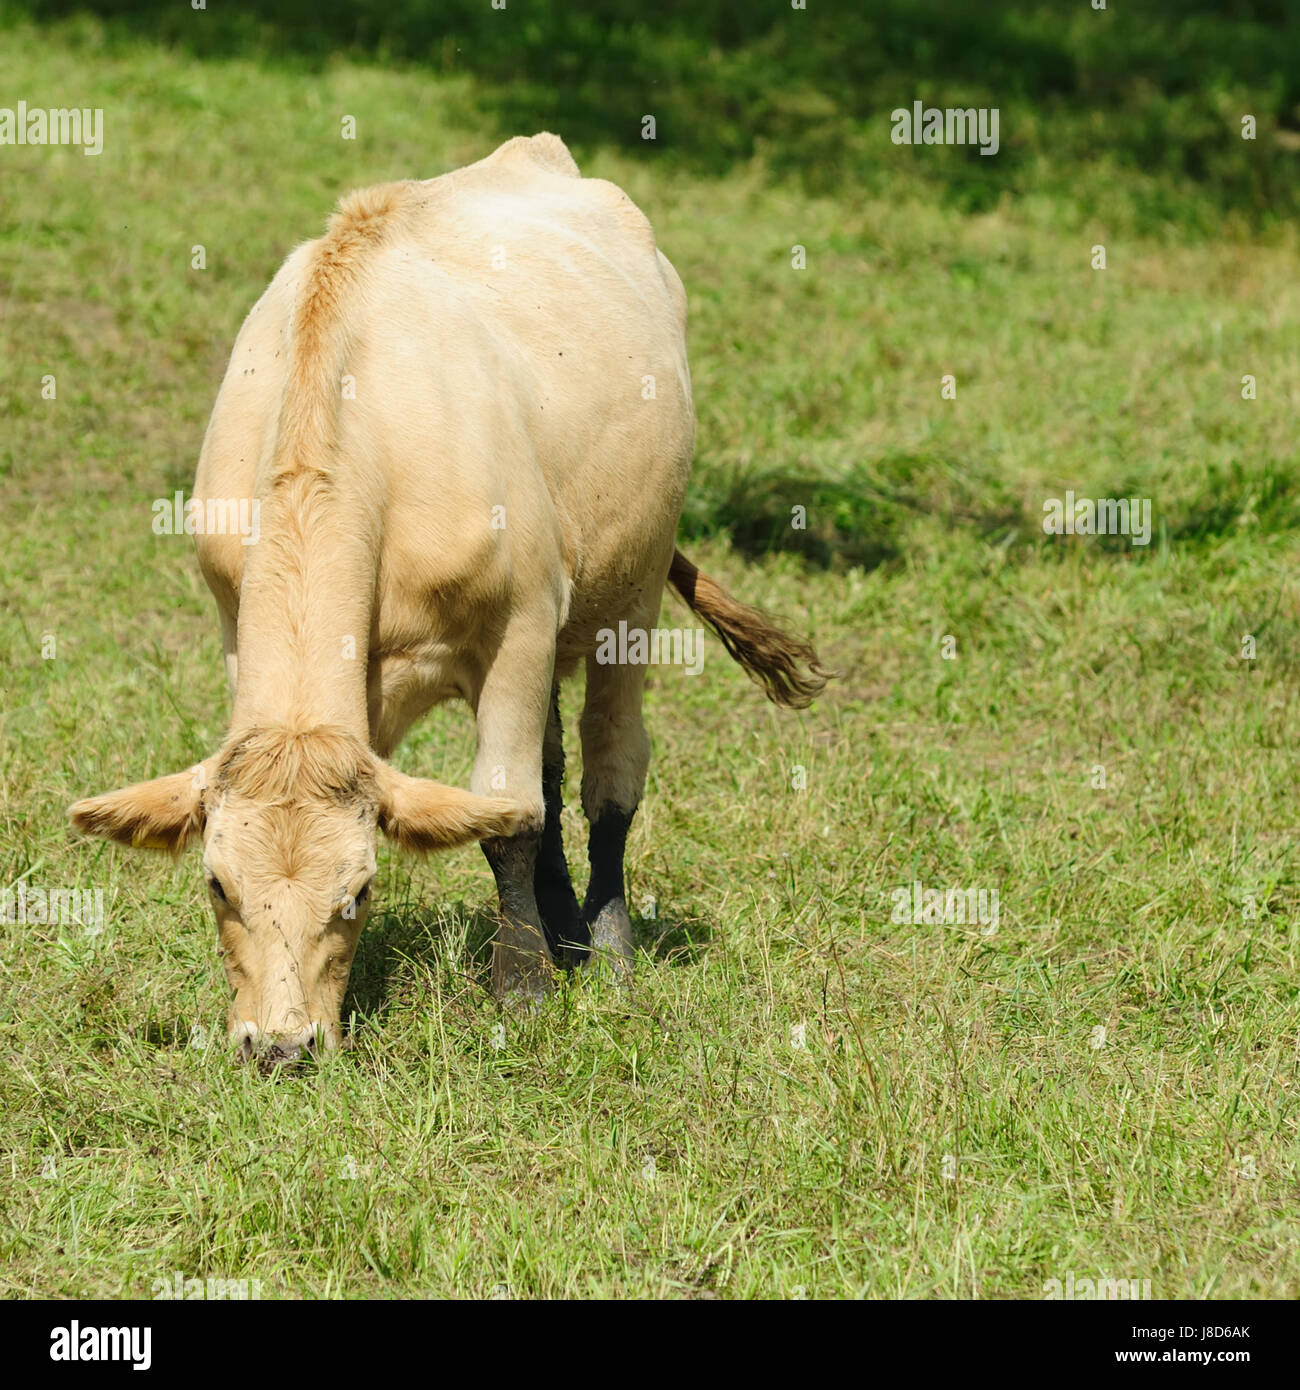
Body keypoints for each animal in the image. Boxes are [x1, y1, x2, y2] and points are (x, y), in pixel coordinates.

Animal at [69, 134, 827, 1063]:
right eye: (217, 886)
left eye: (359, 891)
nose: (281, 1046)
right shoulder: (238, 628)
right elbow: (508, 800)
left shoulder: (522, 625)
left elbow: (509, 815)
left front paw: (522, 987)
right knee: (550, 768)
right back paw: (565, 927)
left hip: (633, 590)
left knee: (608, 765)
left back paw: (606, 945)